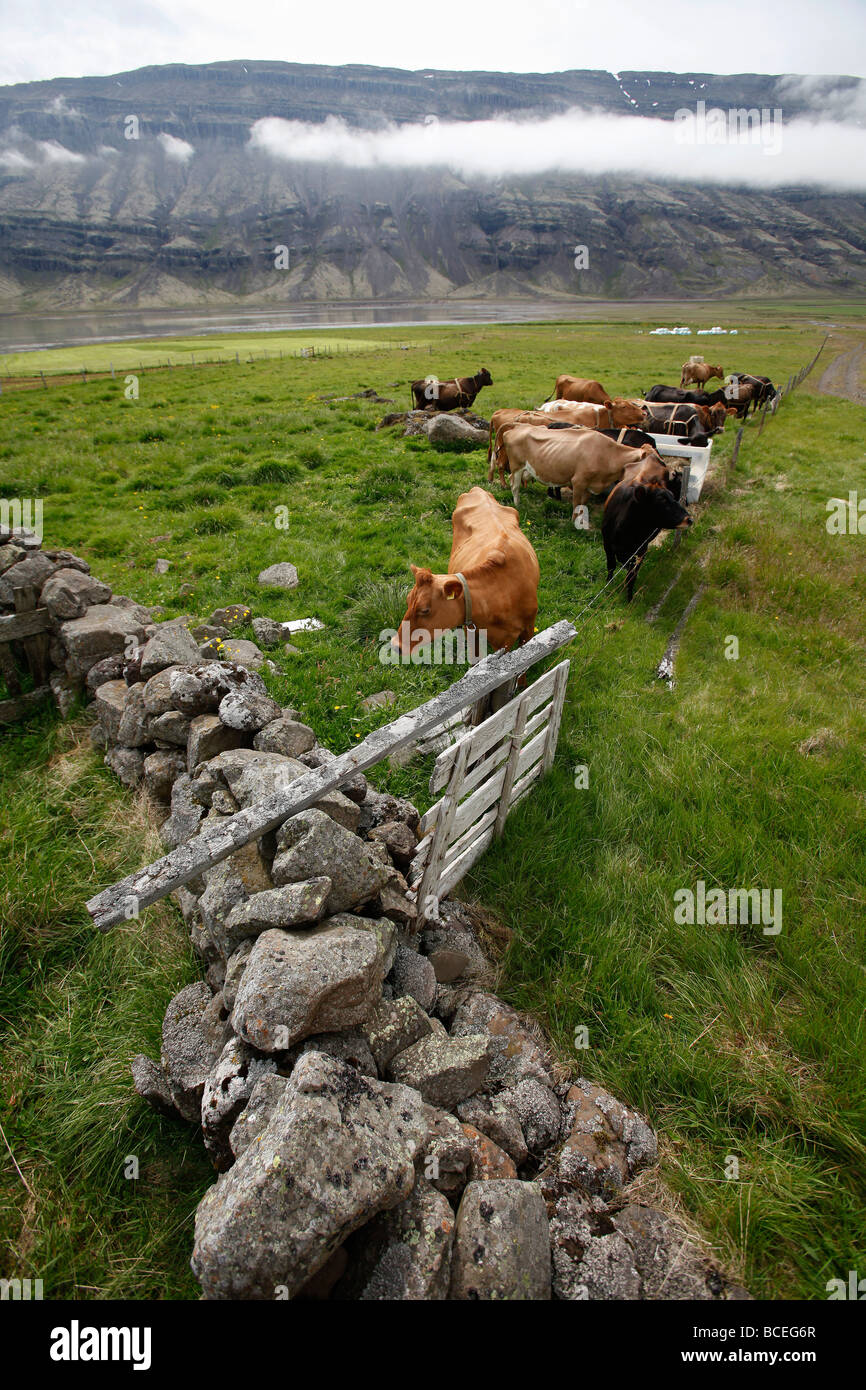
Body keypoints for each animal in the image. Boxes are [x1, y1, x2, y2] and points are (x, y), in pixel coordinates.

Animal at [394, 486, 542, 658]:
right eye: (407, 600)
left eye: (425, 610)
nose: (395, 645)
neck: (505, 592)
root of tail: (478, 489)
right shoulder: (472, 632)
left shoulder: (528, 630)